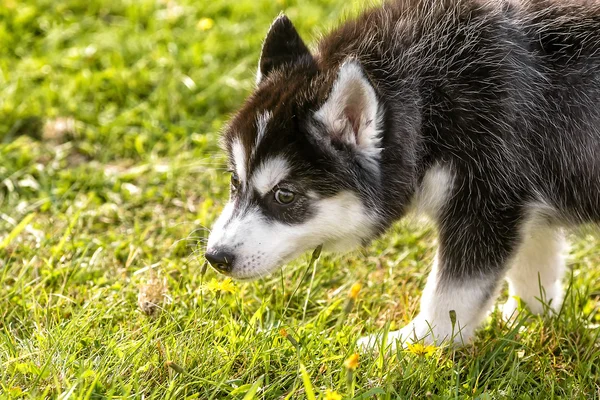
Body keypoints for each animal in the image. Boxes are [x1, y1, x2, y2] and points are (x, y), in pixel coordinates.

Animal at [205, 0, 600, 350]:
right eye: (235, 181)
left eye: (284, 195)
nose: (215, 257)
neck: (429, 97)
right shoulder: (523, 200)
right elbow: (533, 266)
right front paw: (528, 319)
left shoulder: (484, 206)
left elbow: (451, 296)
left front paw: (412, 342)